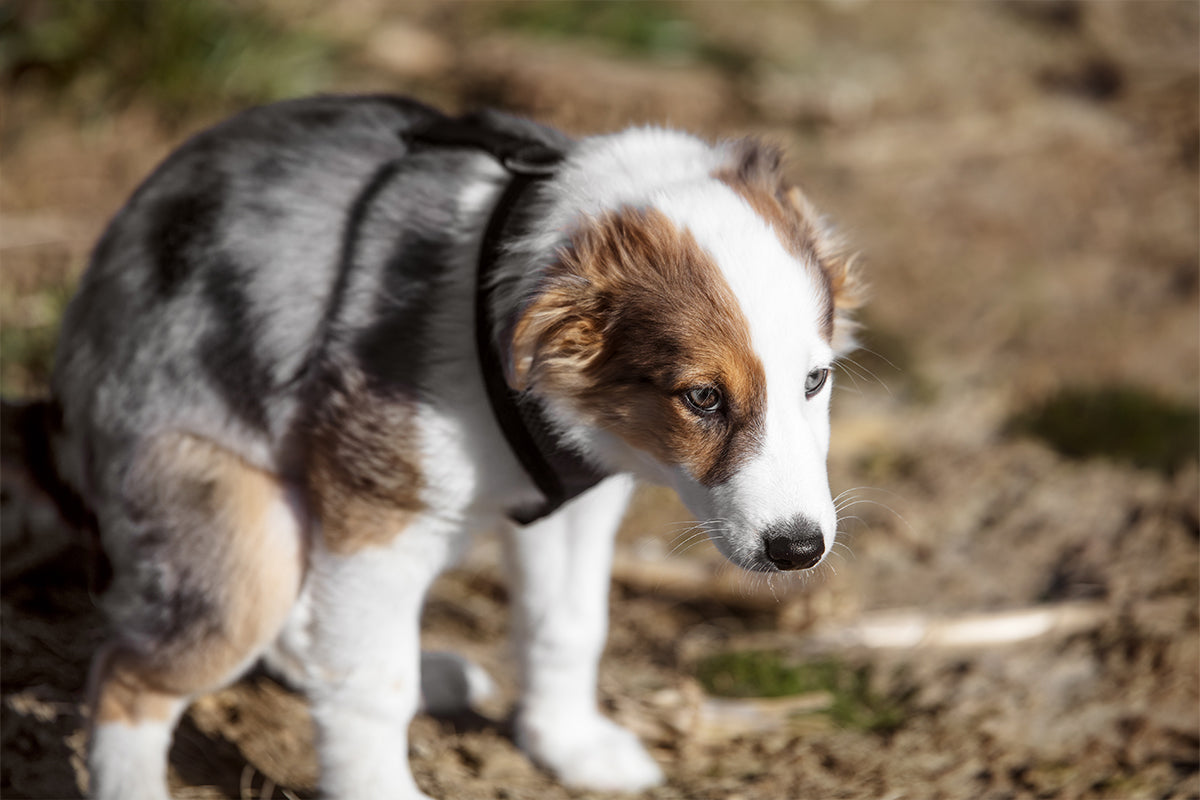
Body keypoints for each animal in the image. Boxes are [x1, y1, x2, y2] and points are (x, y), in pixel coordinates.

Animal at [37, 95, 859, 800]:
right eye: (702, 398)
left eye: (815, 381)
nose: (798, 551)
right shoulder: (378, 511)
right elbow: (372, 683)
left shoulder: (579, 502)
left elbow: (567, 626)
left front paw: (569, 745)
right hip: (241, 533)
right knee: (129, 675)